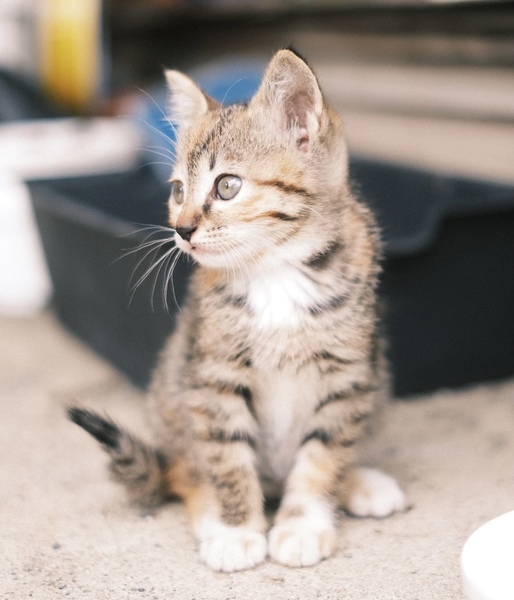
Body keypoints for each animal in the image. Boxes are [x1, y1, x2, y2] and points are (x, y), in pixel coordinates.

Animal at [68, 48, 405, 572]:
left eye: (226, 186)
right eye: (178, 191)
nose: (182, 229)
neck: (277, 271)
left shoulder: (349, 375)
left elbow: (324, 453)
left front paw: (302, 523)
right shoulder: (213, 377)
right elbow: (227, 457)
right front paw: (236, 529)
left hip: (376, 375)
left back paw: (359, 481)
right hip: (174, 389)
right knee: (187, 473)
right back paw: (210, 508)